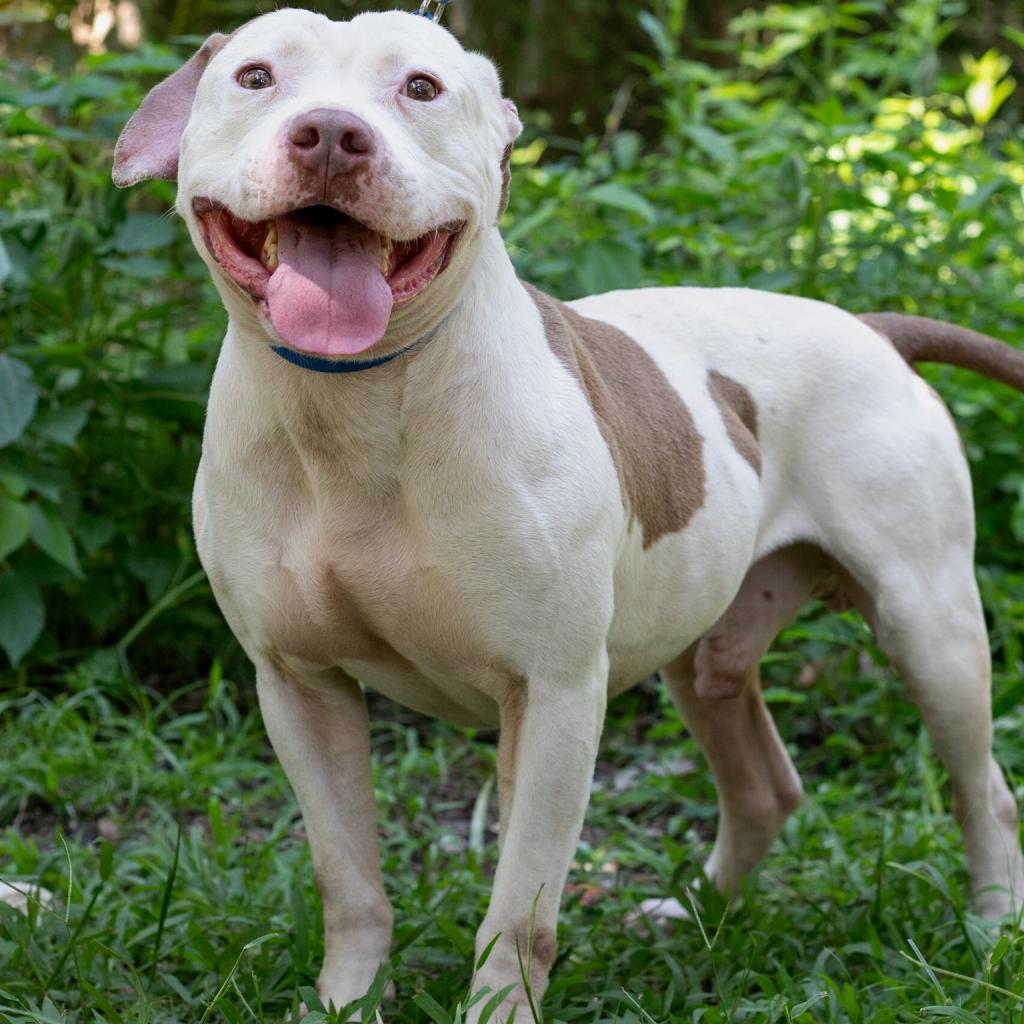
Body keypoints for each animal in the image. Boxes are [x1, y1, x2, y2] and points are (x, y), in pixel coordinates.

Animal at [112, 9, 1024, 1024]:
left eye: (421, 87)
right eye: (256, 76)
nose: (331, 135)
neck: (358, 406)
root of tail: (870, 326)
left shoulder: (553, 695)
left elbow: (521, 906)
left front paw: (497, 1011)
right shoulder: (298, 686)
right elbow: (348, 884)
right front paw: (344, 1004)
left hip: (930, 623)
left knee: (983, 789)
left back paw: (989, 933)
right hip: (704, 652)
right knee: (763, 786)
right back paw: (696, 917)